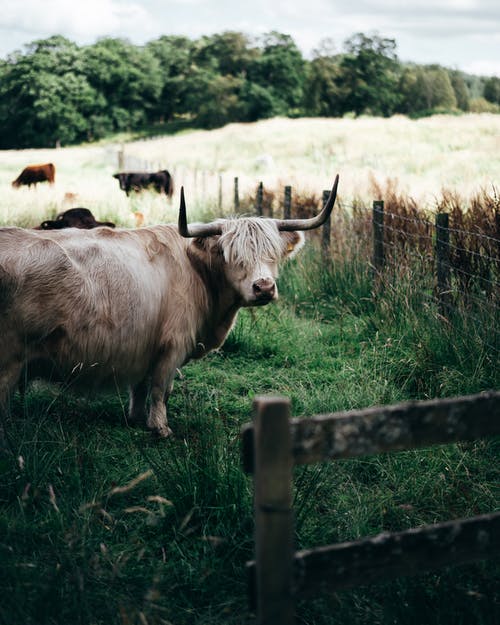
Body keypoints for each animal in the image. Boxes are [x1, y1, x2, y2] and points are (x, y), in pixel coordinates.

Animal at [0, 176, 340, 436]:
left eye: (273, 254)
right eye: (233, 255)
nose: (264, 287)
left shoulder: (142, 346)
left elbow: (140, 387)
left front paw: (137, 418)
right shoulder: (172, 345)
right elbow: (161, 388)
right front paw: (160, 428)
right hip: (9, 360)